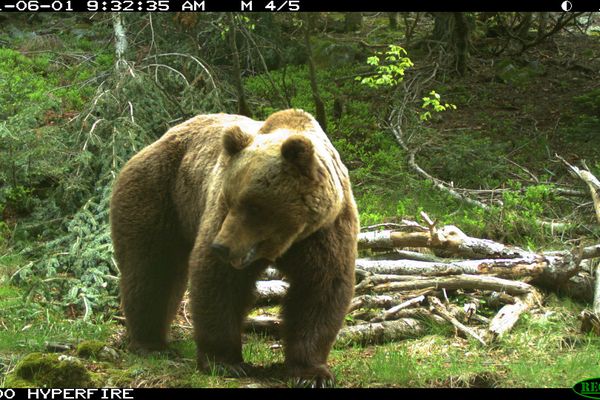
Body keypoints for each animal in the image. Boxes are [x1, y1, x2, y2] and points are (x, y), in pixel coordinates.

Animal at [110, 108, 358, 388]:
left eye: (254, 206)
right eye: (230, 200)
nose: (221, 247)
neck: (290, 237)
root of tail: (154, 142)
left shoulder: (325, 231)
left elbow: (319, 288)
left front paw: (312, 372)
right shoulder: (219, 218)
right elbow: (219, 281)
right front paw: (225, 362)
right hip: (159, 194)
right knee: (151, 269)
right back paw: (151, 343)